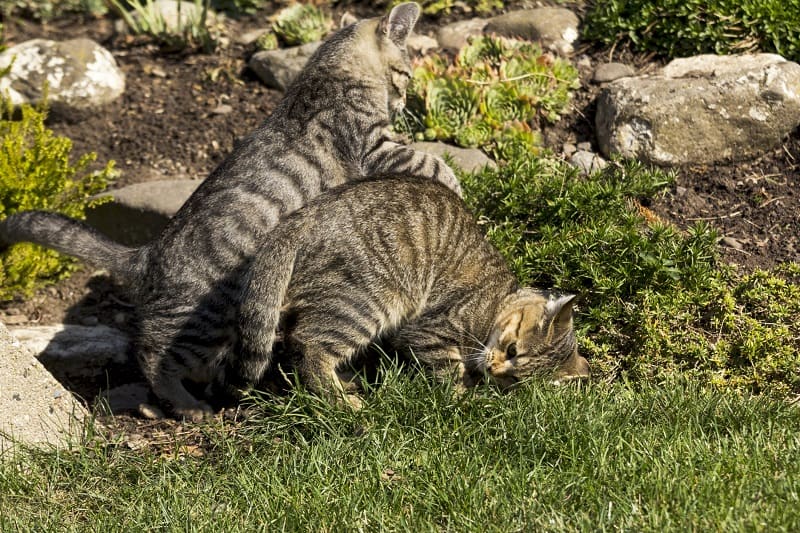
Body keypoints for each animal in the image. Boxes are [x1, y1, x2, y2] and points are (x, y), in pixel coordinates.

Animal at [0, 3, 460, 420]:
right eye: (406, 74)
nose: (404, 101)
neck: (328, 70)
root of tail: (147, 254)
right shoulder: (374, 145)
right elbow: (434, 163)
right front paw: (453, 185)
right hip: (205, 319)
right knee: (153, 355)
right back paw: (187, 406)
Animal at [222, 177, 592, 406]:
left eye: (515, 380)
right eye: (512, 349)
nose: (495, 370)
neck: (498, 298)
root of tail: (304, 216)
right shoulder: (429, 330)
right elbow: (450, 369)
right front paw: (465, 396)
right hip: (368, 300)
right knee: (308, 347)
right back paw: (343, 402)